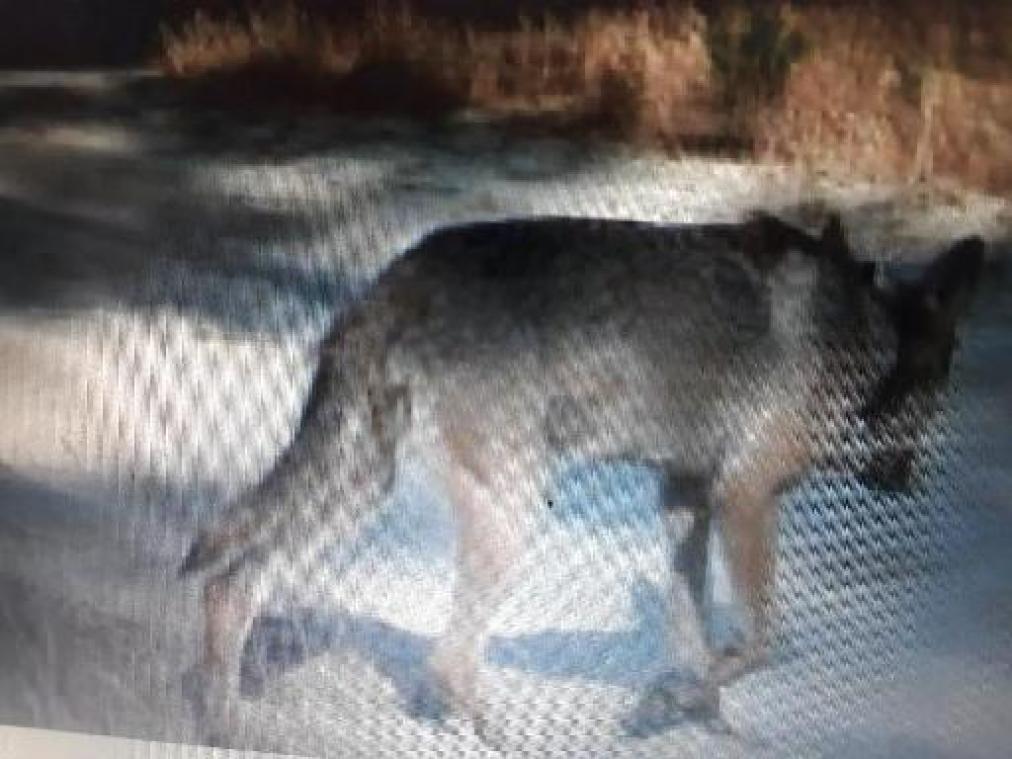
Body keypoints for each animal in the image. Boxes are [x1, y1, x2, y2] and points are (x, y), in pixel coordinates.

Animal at [180, 212, 983, 740]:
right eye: (939, 391)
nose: (906, 480)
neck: (872, 350)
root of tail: (395, 281)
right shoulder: (744, 500)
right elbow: (761, 642)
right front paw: (669, 706)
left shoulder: (685, 501)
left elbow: (696, 638)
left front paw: (690, 712)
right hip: (505, 515)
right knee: (447, 664)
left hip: (360, 490)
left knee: (232, 587)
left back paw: (228, 726)